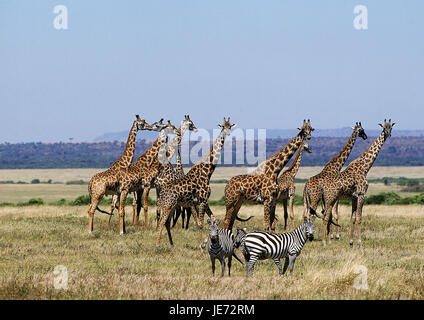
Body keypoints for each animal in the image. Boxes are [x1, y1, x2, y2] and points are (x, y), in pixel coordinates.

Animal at [155, 116, 235, 246]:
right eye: (223, 126)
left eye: (230, 126)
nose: (228, 133)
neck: (207, 172)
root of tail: (162, 192)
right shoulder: (201, 201)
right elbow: (201, 223)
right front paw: (199, 244)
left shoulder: (204, 201)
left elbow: (213, 219)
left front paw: (208, 240)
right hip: (168, 204)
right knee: (162, 221)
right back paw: (157, 244)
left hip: (172, 205)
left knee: (166, 222)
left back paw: (172, 243)